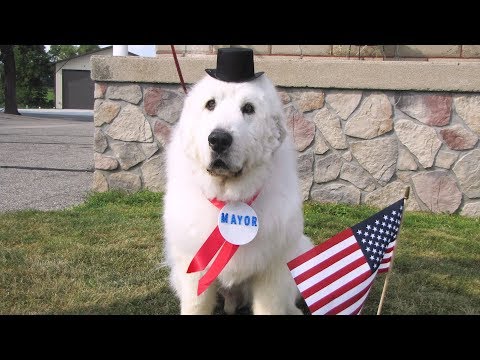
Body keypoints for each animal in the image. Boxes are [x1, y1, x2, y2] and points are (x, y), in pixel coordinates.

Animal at [163, 52, 314, 314]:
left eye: (248, 109)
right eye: (210, 104)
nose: (219, 139)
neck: (230, 199)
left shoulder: (271, 270)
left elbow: (269, 307)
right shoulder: (194, 268)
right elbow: (195, 305)